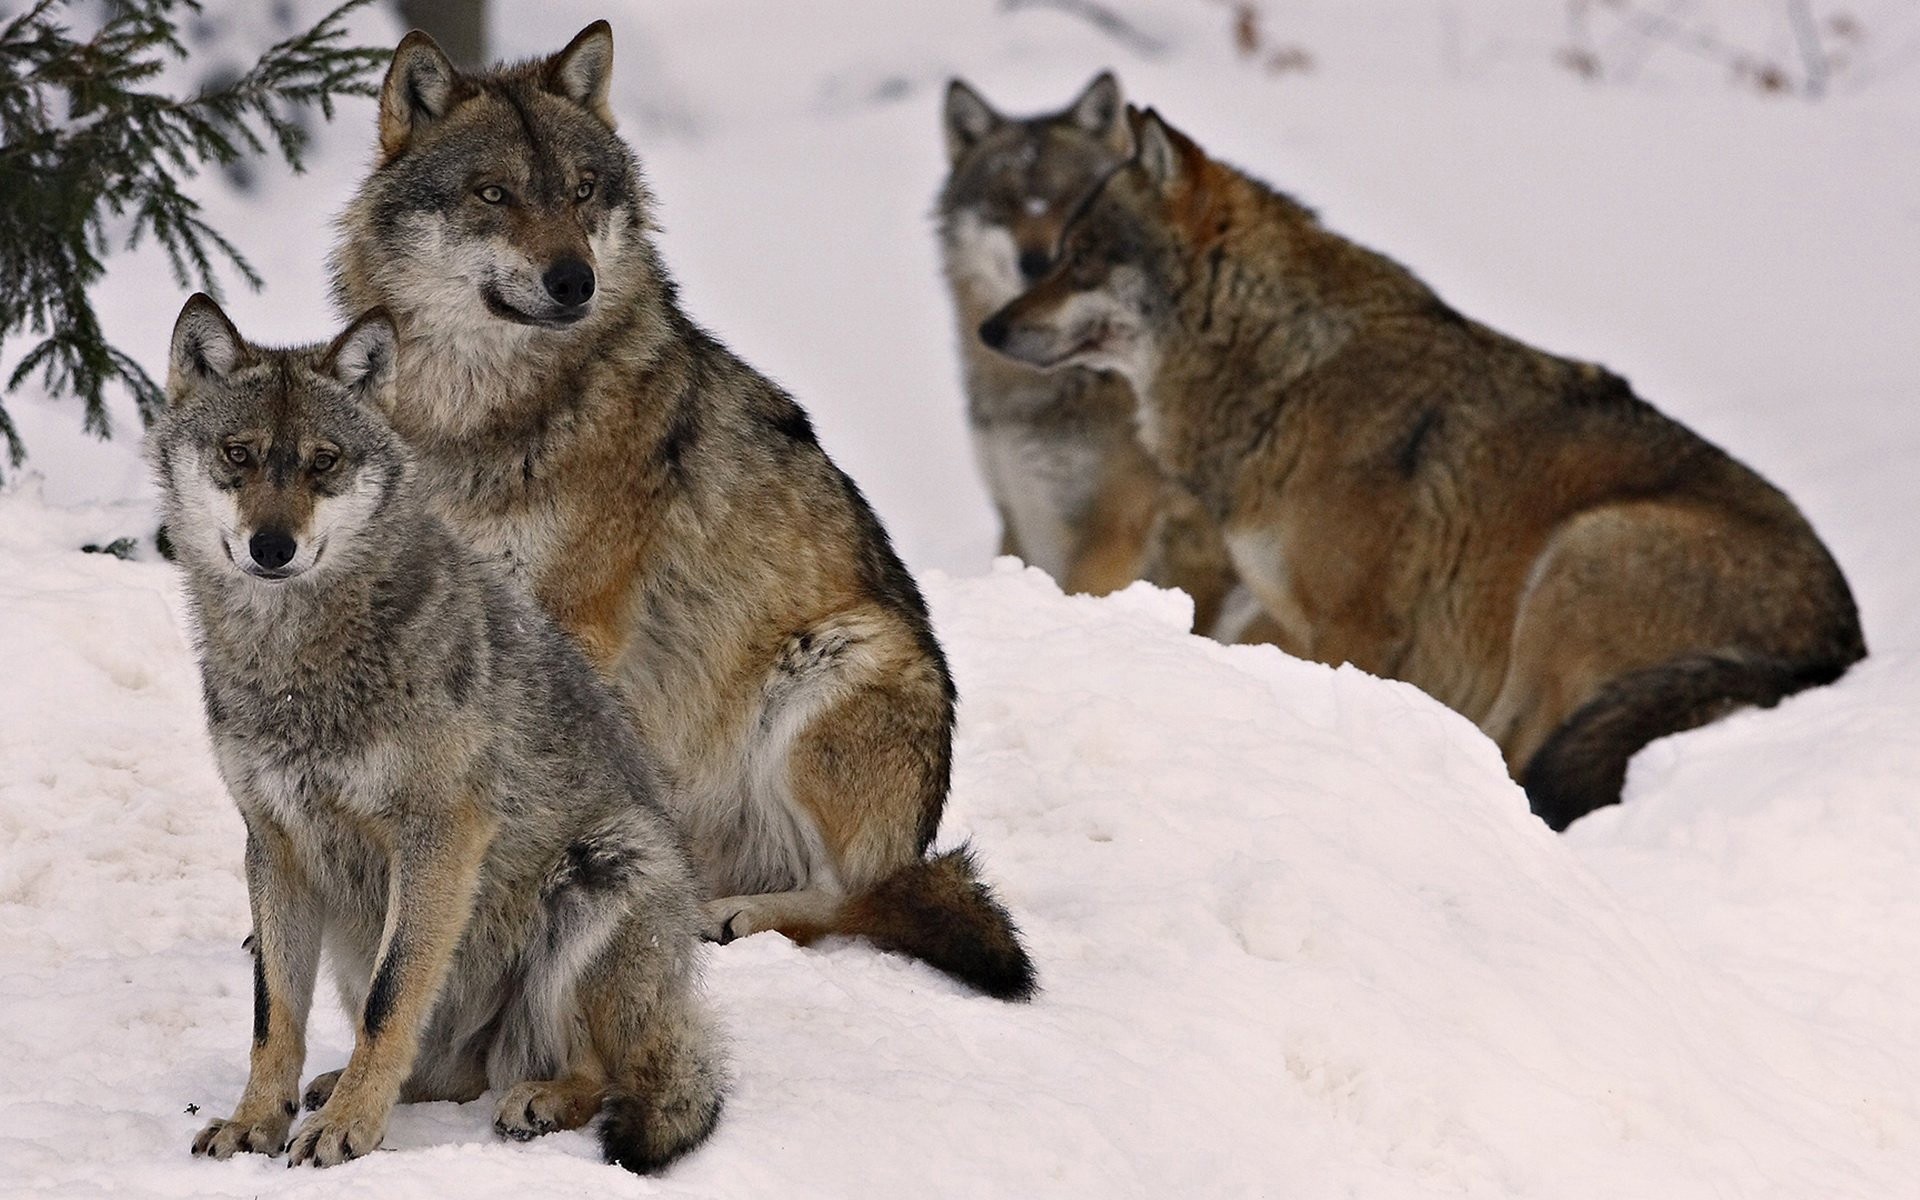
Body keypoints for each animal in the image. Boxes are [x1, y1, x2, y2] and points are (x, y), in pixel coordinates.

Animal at [153, 291, 721, 1167]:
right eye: (238, 455)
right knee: (447, 1071)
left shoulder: (439, 835)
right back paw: (345, 1087)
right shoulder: (274, 844)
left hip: (606, 869)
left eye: (323, 462)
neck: (298, 665)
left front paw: (347, 1130)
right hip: (356, 933)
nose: (271, 547)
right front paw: (257, 1121)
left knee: (599, 1073)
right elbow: (273, 1014)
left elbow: (391, 1002)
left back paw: (535, 1100)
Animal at [337, 23, 1044, 998]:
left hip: (834, 666)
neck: (478, 415)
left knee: (859, 901)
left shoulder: (576, 622)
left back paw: (733, 916)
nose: (575, 280)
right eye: (494, 194)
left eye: (582, 191)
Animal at [975, 107, 1858, 829]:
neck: (1289, 371)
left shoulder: (1357, 627)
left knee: (1526, 763)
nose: (990, 329)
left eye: (1082, 260)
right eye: (1058, 256)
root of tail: (1839, 647)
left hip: (1580, 556)